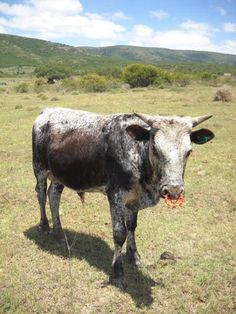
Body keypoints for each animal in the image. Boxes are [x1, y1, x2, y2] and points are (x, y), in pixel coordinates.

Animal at [31, 108, 214, 290]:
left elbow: (132, 226)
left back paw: (59, 233)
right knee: (41, 194)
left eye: (189, 152)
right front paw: (118, 272)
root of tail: (47, 111)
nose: (174, 190)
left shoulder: (133, 199)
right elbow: (120, 234)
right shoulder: (116, 195)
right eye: (155, 149)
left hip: (59, 176)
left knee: (54, 196)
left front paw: (134, 256)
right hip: (39, 168)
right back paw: (45, 226)